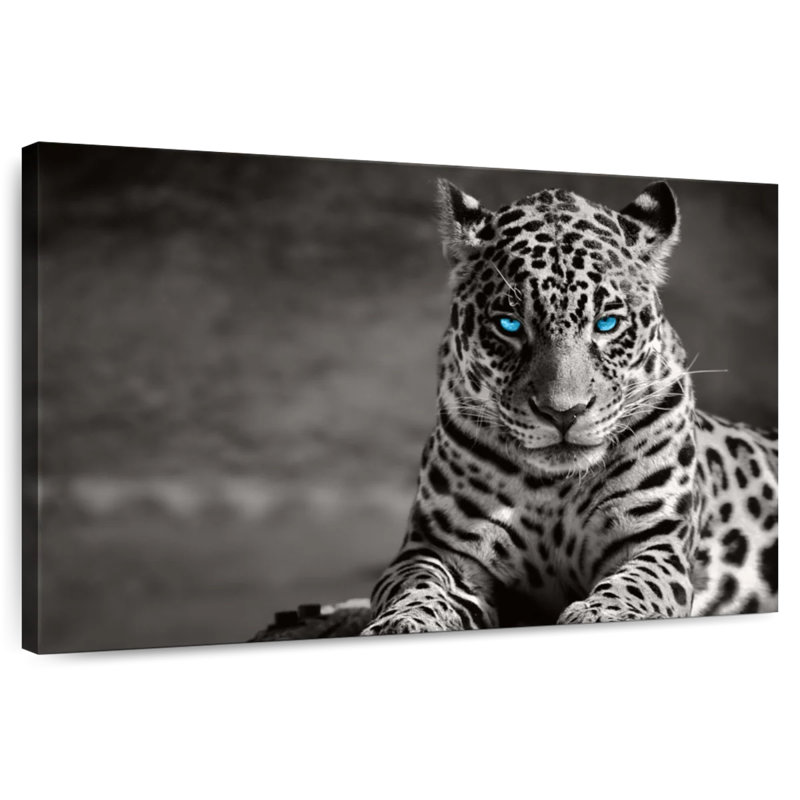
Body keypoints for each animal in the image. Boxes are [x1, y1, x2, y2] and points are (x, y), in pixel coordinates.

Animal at [362, 179, 778, 635]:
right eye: (509, 325)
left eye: (607, 323)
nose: (564, 412)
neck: (553, 488)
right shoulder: (437, 548)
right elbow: (416, 586)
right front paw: (402, 623)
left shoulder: (654, 540)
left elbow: (636, 583)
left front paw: (603, 612)